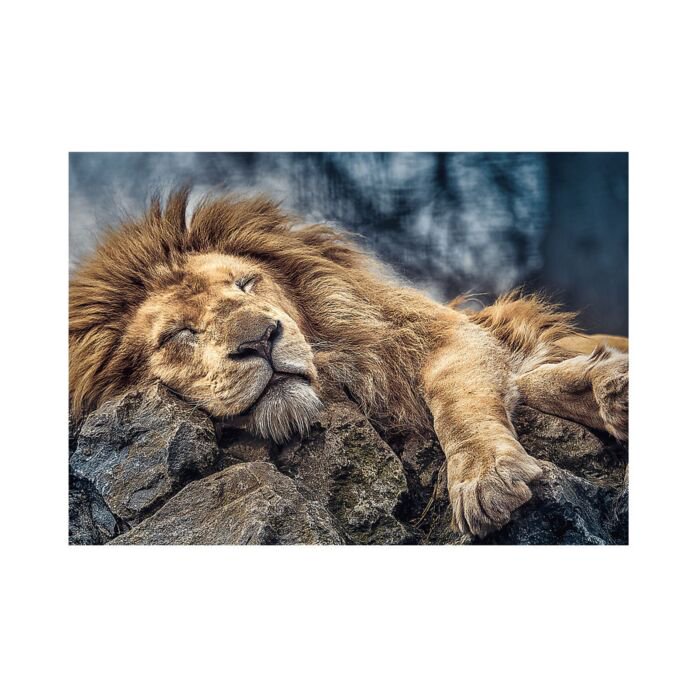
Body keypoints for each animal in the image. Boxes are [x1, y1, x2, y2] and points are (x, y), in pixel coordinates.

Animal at [69, 189, 629, 537]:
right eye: (179, 334)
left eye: (246, 284)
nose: (262, 339)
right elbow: (528, 380)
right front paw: (602, 387)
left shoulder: (443, 334)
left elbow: (458, 396)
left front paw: (485, 477)